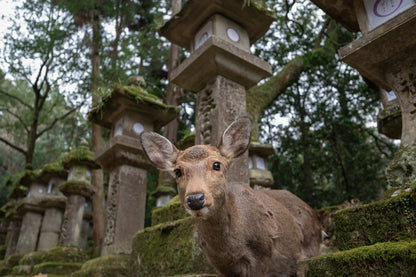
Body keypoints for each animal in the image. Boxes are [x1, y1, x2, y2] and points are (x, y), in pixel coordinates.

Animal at [140, 117, 322, 276]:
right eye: (178, 171)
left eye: (216, 164)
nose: (195, 199)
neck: (230, 250)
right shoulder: (218, 265)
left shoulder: (263, 251)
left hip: (311, 246)